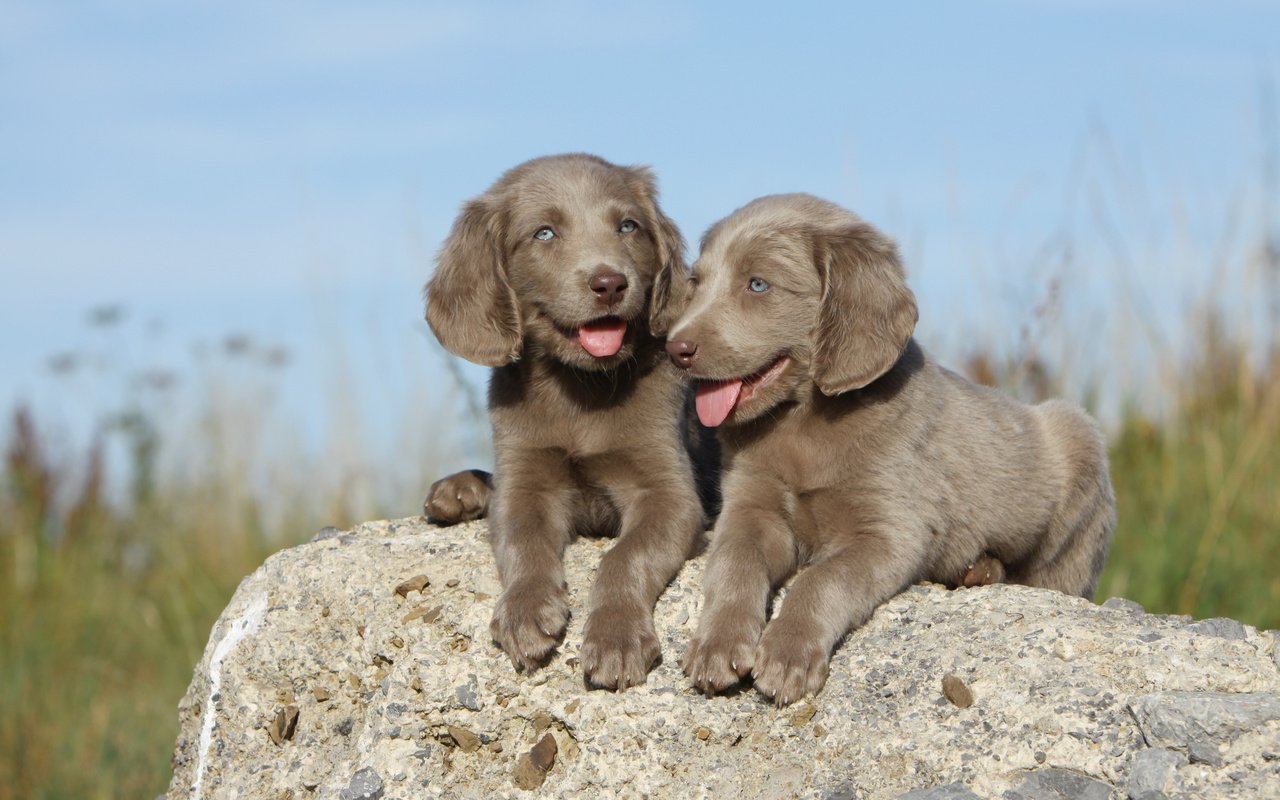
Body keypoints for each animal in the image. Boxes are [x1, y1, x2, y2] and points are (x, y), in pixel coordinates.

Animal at [665, 193, 1116, 706]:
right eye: (696, 283)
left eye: (758, 284)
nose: (675, 348)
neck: (802, 423)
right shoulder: (750, 508)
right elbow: (733, 563)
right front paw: (717, 646)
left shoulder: (890, 532)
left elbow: (821, 579)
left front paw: (787, 654)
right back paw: (979, 568)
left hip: (1077, 452)